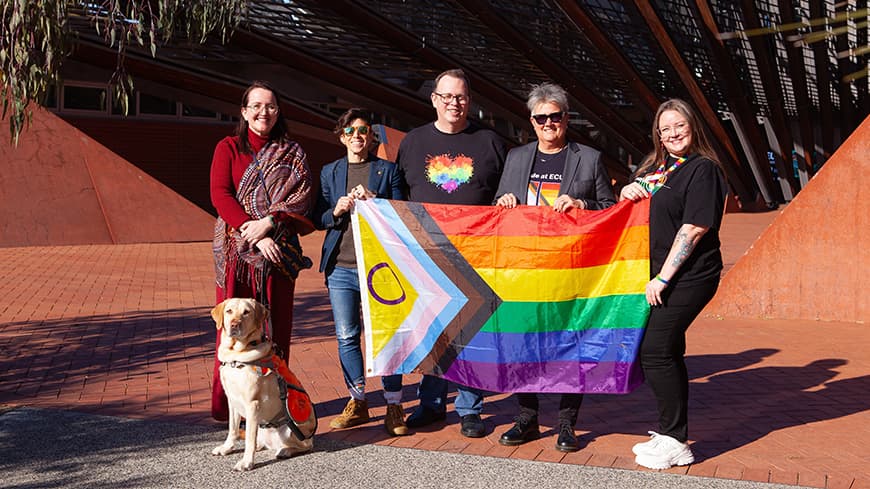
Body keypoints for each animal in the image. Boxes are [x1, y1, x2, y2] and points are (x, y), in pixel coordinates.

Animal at [212, 298, 316, 468]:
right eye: (229, 311)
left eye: (246, 312)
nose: (234, 324)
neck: (236, 356)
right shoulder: (232, 400)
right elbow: (233, 428)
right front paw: (226, 448)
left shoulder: (252, 404)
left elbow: (248, 438)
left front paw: (246, 462)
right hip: (261, 427)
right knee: (258, 441)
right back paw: (262, 446)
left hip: (292, 429)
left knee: (306, 446)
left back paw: (285, 451)